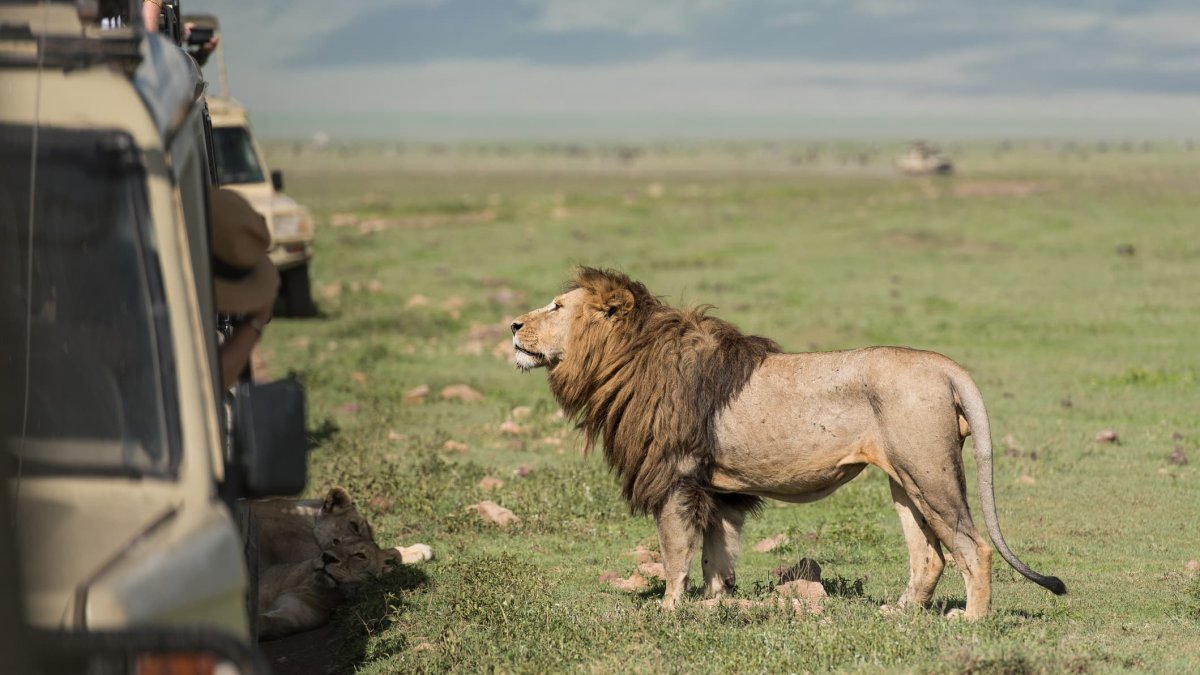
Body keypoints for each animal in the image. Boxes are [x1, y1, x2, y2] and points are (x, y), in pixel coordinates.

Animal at [257, 539, 401, 641]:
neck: (307, 584)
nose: (327, 557)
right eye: (335, 542)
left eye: (360, 555)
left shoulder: (292, 615)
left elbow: (266, 621)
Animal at [510, 267, 1065, 618]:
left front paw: (668, 610)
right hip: (905, 480)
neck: (623, 359)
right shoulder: (720, 490)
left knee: (974, 547)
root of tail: (944, 365)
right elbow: (717, 555)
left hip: (930, 473)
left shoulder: (675, 476)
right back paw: (900, 612)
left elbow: (674, 552)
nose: (513, 325)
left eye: (556, 306)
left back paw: (971, 621)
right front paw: (715, 606)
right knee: (929, 555)